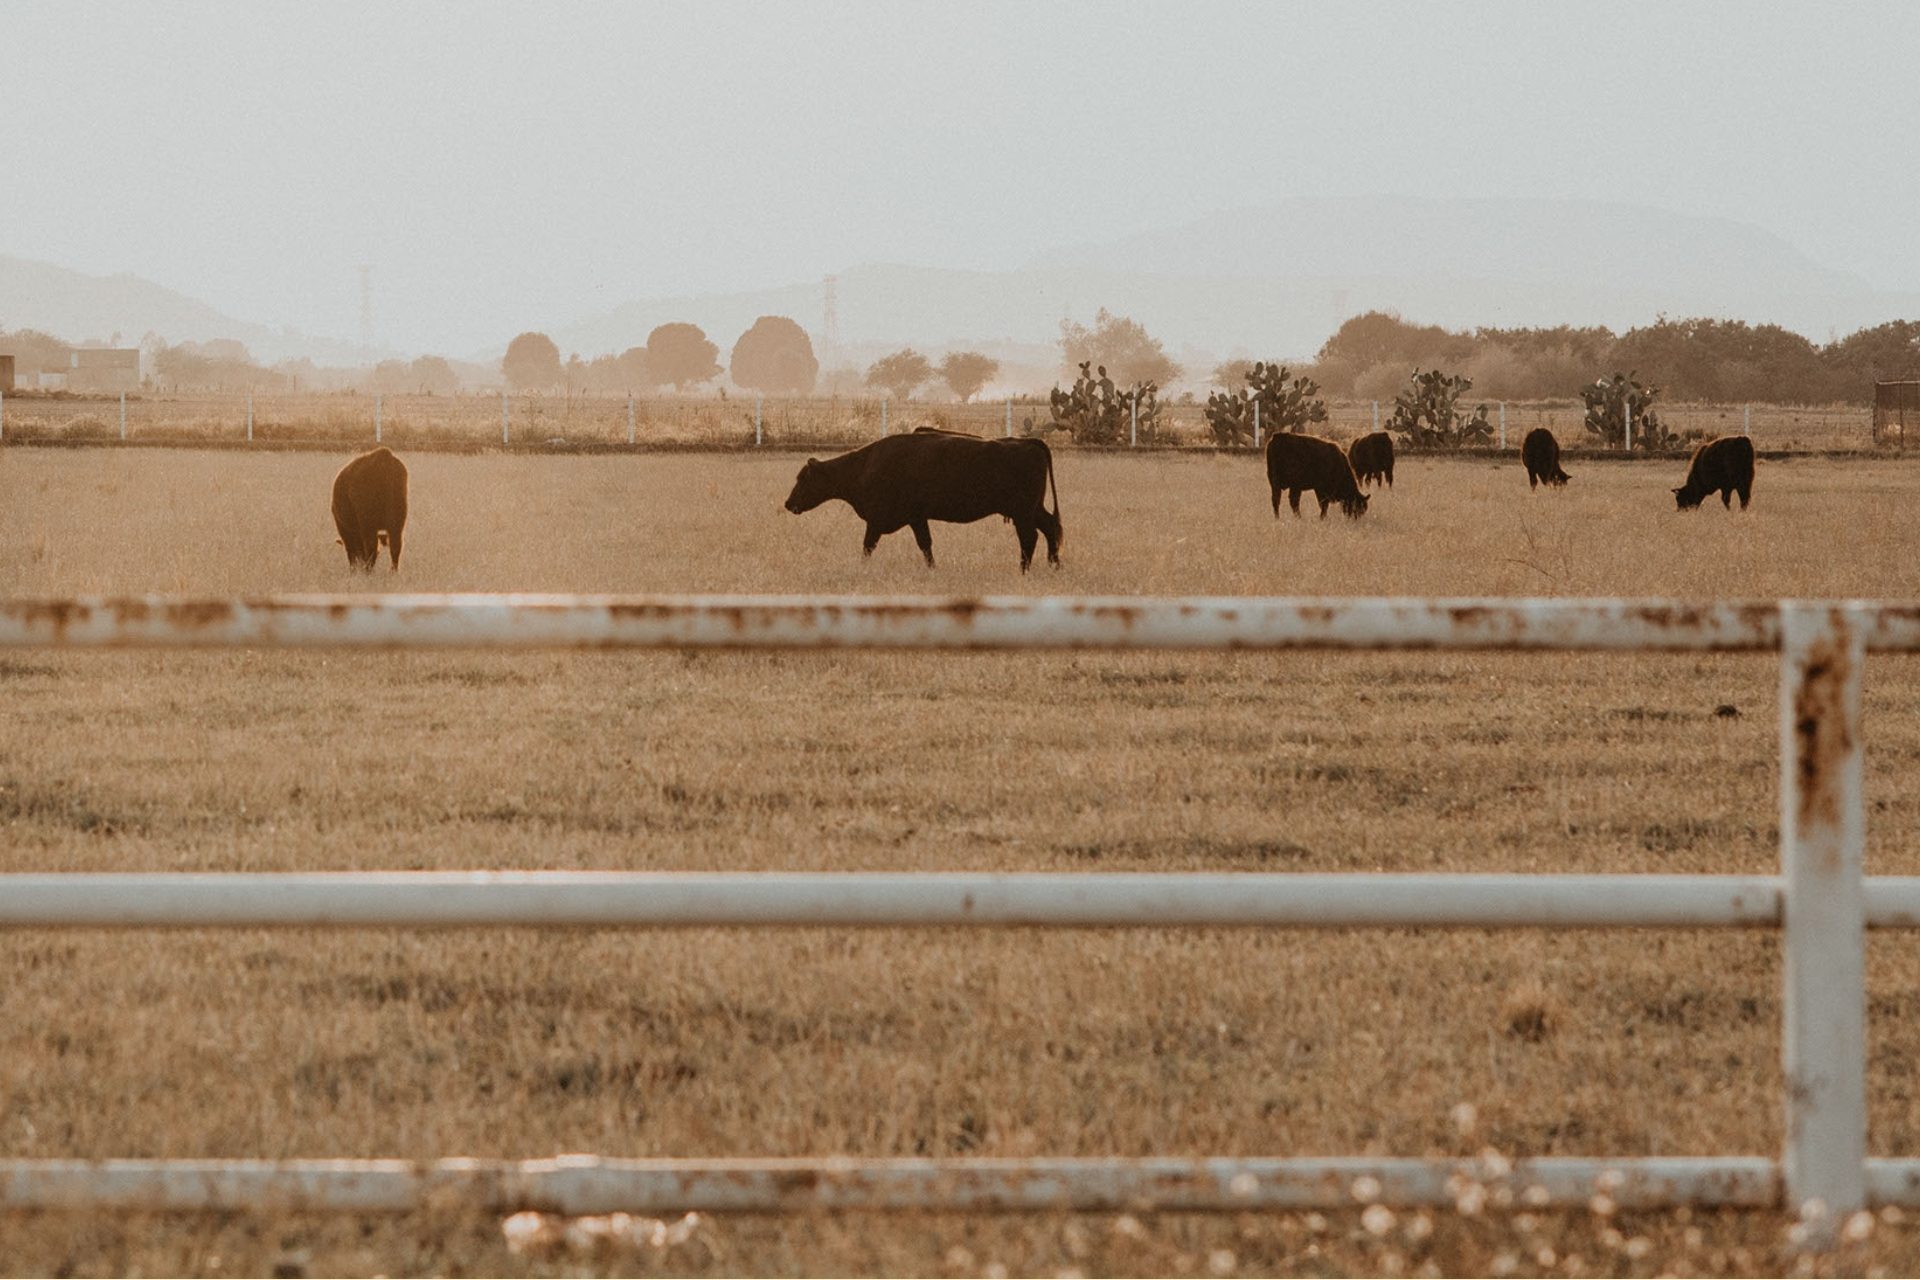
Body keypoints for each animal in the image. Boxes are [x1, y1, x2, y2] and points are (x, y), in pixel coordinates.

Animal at [779, 429, 1067, 571]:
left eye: (803, 478)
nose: (788, 503)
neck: (864, 466)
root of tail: (1028, 442)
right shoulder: (917, 518)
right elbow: (925, 545)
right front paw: (932, 568)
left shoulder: (876, 521)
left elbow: (868, 545)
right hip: (1032, 510)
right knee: (1051, 528)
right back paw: (1054, 564)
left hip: (1022, 513)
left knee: (1029, 538)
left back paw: (1024, 569)